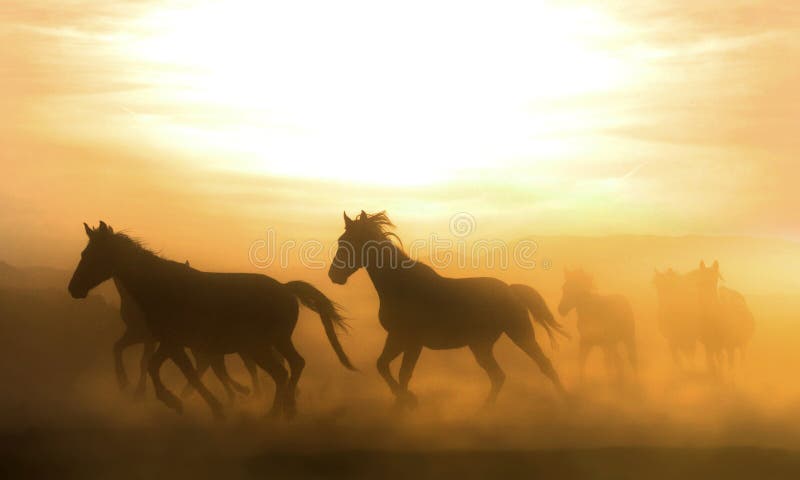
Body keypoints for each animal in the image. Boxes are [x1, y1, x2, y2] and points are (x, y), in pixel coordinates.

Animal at [69, 220, 354, 416]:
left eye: (91, 256)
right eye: (83, 254)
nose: (73, 289)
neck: (162, 287)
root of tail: (285, 288)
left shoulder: (172, 343)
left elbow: (173, 370)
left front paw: (180, 401)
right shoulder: (172, 344)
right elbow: (174, 370)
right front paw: (193, 403)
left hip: (259, 347)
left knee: (281, 373)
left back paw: (273, 414)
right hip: (276, 343)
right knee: (294, 365)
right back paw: (288, 410)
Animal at [326, 210, 568, 408]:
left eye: (354, 241)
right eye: (341, 240)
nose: (334, 275)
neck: (402, 286)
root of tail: (511, 290)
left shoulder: (412, 341)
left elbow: (403, 373)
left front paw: (408, 400)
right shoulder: (397, 338)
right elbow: (383, 365)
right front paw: (403, 401)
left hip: (520, 333)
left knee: (543, 364)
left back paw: (564, 401)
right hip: (480, 345)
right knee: (498, 376)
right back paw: (485, 409)